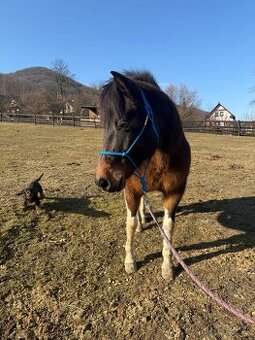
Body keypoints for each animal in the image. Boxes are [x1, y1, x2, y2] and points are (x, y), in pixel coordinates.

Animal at [94, 70, 190, 280]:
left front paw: (167, 267)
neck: (159, 158)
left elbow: (168, 228)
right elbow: (129, 224)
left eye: (124, 124)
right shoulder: (130, 190)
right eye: (103, 125)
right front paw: (130, 262)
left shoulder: (174, 194)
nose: (102, 180)